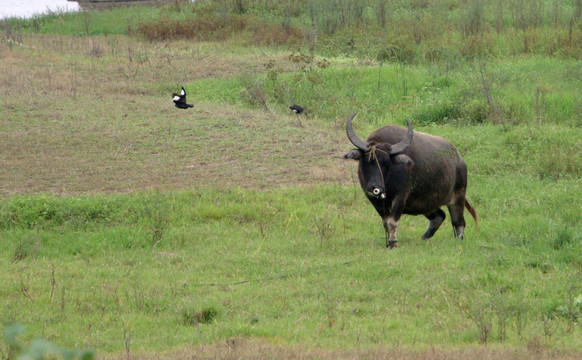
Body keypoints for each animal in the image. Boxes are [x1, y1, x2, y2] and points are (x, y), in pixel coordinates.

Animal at [344, 114, 476, 249]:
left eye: (386, 162)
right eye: (368, 160)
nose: (376, 187)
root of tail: (459, 159)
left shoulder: (400, 197)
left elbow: (392, 221)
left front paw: (393, 243)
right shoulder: (374, 200)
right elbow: (385, 222)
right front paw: (388, 242)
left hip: (458, 197)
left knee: (459, 223)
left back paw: (458, 240)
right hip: (426, 204)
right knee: (440, 216)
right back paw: (423, 238)